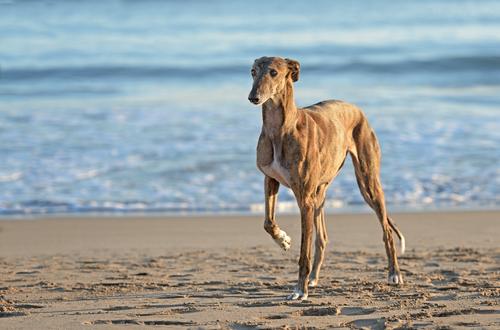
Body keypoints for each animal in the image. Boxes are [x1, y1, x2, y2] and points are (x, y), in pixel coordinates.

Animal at [248, 55, 404, 300]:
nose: (253, 97)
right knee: (322, 238)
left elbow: (304, 251)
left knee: (386, 231)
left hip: (367, 183)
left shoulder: (304, 199)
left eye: (273, 72)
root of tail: (356, 108)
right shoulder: (270, 180)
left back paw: (394, 274)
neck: (279, 129)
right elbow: (268, 222)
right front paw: (283, 240)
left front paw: (299, 290)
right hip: (320, 194)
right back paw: (313, 278)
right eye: (253, 71)